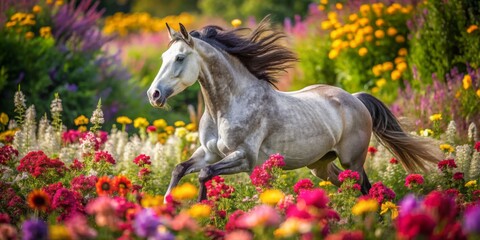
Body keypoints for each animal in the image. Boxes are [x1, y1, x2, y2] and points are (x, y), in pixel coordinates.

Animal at [147, 19, 442, 201]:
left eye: (180, 58)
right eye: (162, 57)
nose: (154, 95)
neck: (227, 106)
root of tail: (356, 99)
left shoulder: (245, 158)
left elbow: (205, 175)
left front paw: (203, 208)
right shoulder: (209, 153)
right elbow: (179, 169)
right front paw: (167, 205)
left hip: (353, 160)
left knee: (363, 187)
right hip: (320, 165)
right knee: (352, 185)